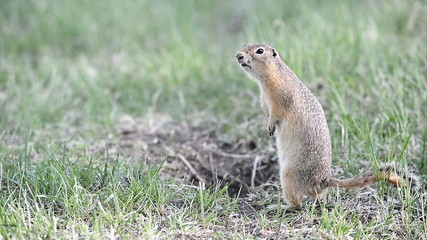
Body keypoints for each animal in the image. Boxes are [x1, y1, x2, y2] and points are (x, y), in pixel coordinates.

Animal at [237, 44, 408, 209]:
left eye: (260, 51)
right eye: (246, 45)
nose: (238, 55)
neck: (265, 80)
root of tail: (324, 180)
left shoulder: (280, 95)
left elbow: (276, 112)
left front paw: (270, 126)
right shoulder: (263, 98)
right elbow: (265, 109)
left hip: (287, 175)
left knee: (298, 203)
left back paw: (280, 207)